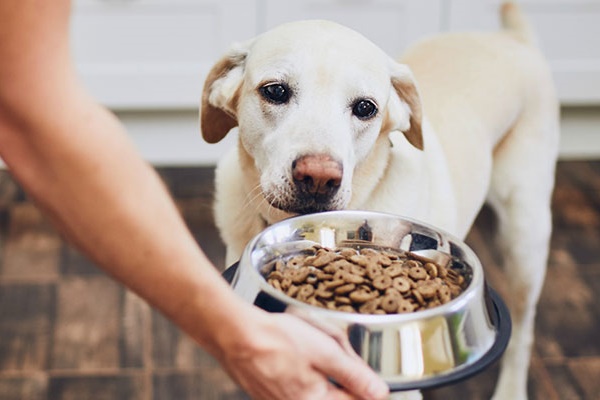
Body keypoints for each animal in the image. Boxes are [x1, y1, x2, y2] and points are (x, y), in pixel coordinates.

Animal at [199, 2, 560, 396]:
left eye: (365, 108)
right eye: (275, 91)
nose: (319, 178)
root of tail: (513, 38)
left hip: (525, 239)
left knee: (523, 333)